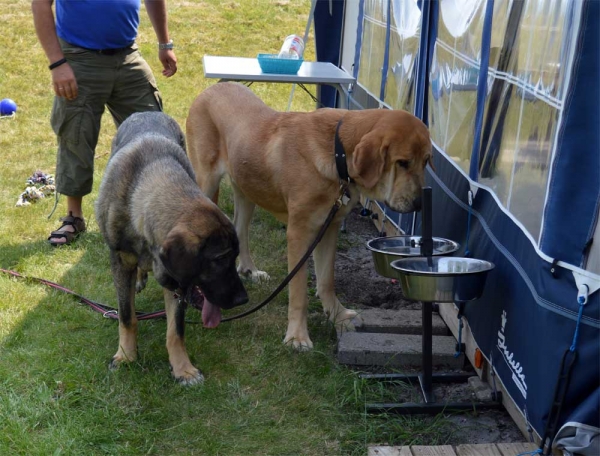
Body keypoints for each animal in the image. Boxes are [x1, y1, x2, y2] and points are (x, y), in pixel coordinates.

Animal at [97, 111, 247, 384]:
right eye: (219, 259)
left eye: (235, 258)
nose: (243, 299)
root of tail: (147, 112)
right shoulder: (121, 262)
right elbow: (126, 316)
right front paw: (126, 355)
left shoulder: (177, 282)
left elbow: (176, 329)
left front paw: (183, 368)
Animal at [188, 83, 432, 350]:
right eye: (402, 162)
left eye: (426, 161)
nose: (420, 203)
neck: (338, 153)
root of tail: (212, 88)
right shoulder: (299, 233)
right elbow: (299, 292)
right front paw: (297, 336)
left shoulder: (329, 227)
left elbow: (327, 280)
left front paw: (338, 316)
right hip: (207, 182)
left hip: (246, 189)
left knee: (240, 229)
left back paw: (250, 270)